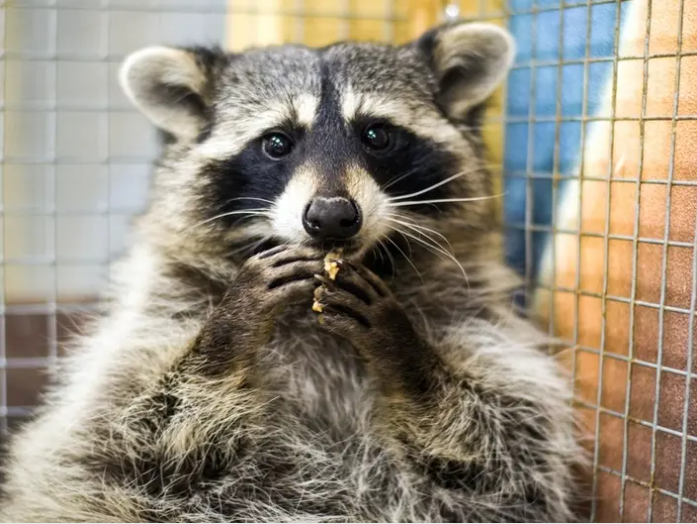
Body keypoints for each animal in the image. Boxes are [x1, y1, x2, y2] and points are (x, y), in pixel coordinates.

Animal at [0, 22, 580, 520]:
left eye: (376, 135)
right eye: (277, 142)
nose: (332, 216)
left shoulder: (469, 312)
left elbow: (505, 450)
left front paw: (404, 350)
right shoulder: (159, 314)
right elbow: (121, 439)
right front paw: (229, 329)